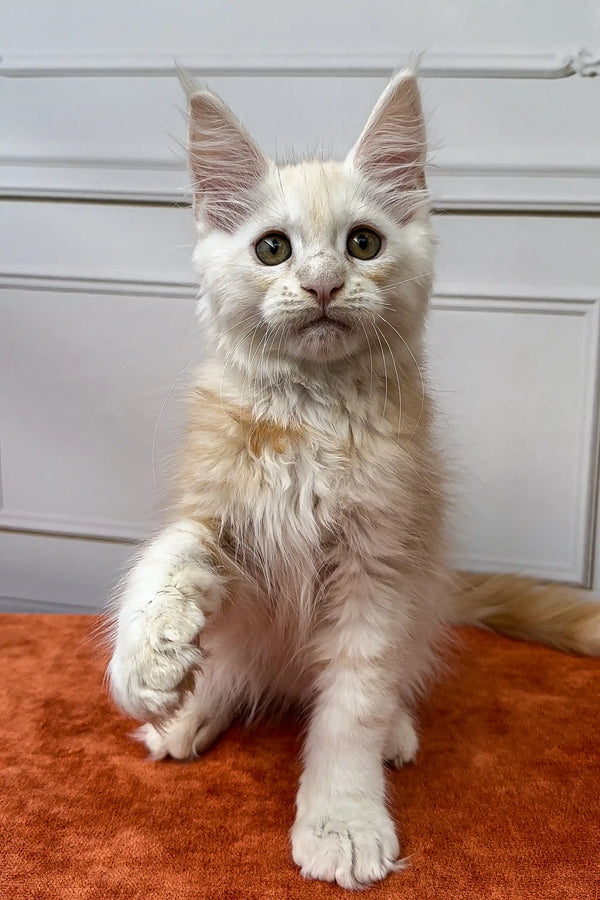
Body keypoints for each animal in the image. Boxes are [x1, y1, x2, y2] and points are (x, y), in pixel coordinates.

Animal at [109, 72, 600, 892]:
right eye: (273, 248)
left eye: (362, 244)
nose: (322, 284)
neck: (311, 416)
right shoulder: (224, 518)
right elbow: (171, 553)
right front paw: (147, 655)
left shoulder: (381, 565)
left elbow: (351, 707)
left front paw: (341, 822)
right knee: (237, 665)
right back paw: (188, 712)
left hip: (422, 599)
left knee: (383, 681)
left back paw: (393, 731)